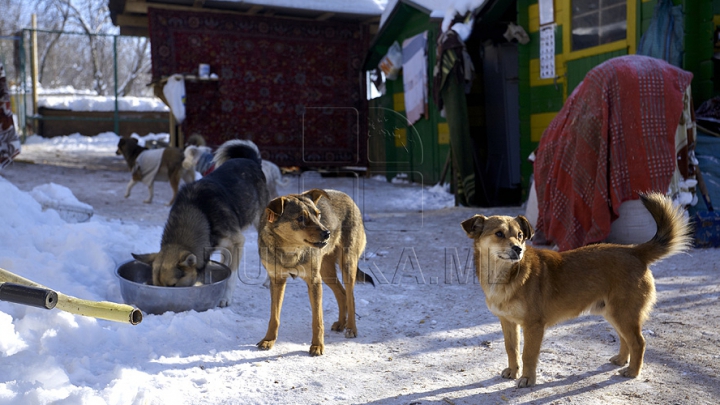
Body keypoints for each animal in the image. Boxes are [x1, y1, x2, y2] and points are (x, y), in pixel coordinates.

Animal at [256, 189, 374, 354]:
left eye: (318, 215)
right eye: (300, 218)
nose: (327, 233)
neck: (290, 250)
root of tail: (346, 195)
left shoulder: (314, 281)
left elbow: (317, 320)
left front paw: (317, 346)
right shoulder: (277, 281)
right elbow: (274, 317)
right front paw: (268, 340)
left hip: (347, 266)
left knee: (351, 297)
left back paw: (351, 328)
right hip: (326, 273)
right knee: (342, 293)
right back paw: (341, 323)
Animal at [462, 191, 692, 386]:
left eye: (519, 235)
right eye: (499, 234)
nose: (518, 249)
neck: (505, 275)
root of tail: (634, 251)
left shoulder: (533, 326)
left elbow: (528, 355)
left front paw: (527, 379)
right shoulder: (508, 322)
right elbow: (511, 349)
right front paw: (513, 371)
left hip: (624, 314)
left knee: (638, 342)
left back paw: (632, 372)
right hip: (614, 313)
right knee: (626, 340)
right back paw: (621, 360)